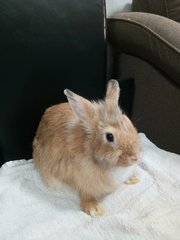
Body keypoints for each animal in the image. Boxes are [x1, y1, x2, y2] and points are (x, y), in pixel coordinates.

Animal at [33, 79, 141, 217]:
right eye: (109, 136)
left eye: (128, 122)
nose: (135, 157)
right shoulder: (82, 182)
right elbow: (86, 195)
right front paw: (95, 210)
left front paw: (134, 178)